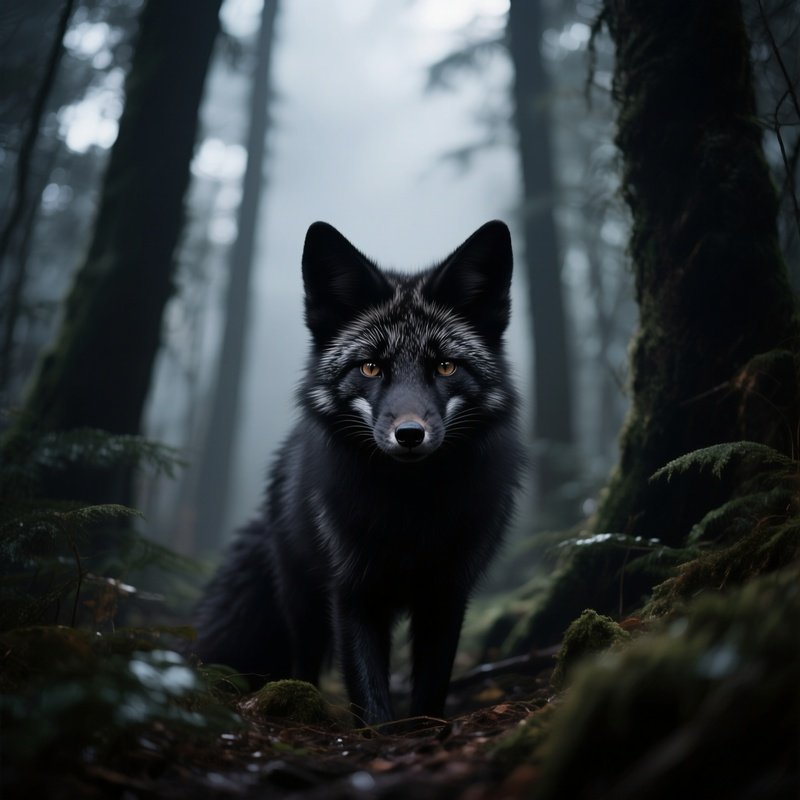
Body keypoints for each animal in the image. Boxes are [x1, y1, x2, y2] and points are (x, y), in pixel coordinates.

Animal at [194, 220, 524, 724]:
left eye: (445, 366)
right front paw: (381, 736)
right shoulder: (353, 591)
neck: (410, 514)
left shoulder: (448, 592)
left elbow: (431, 688)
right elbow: (369, 697)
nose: (409, 434)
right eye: (370, 367)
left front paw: (424, 731)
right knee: (305, 659)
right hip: (303, 599)